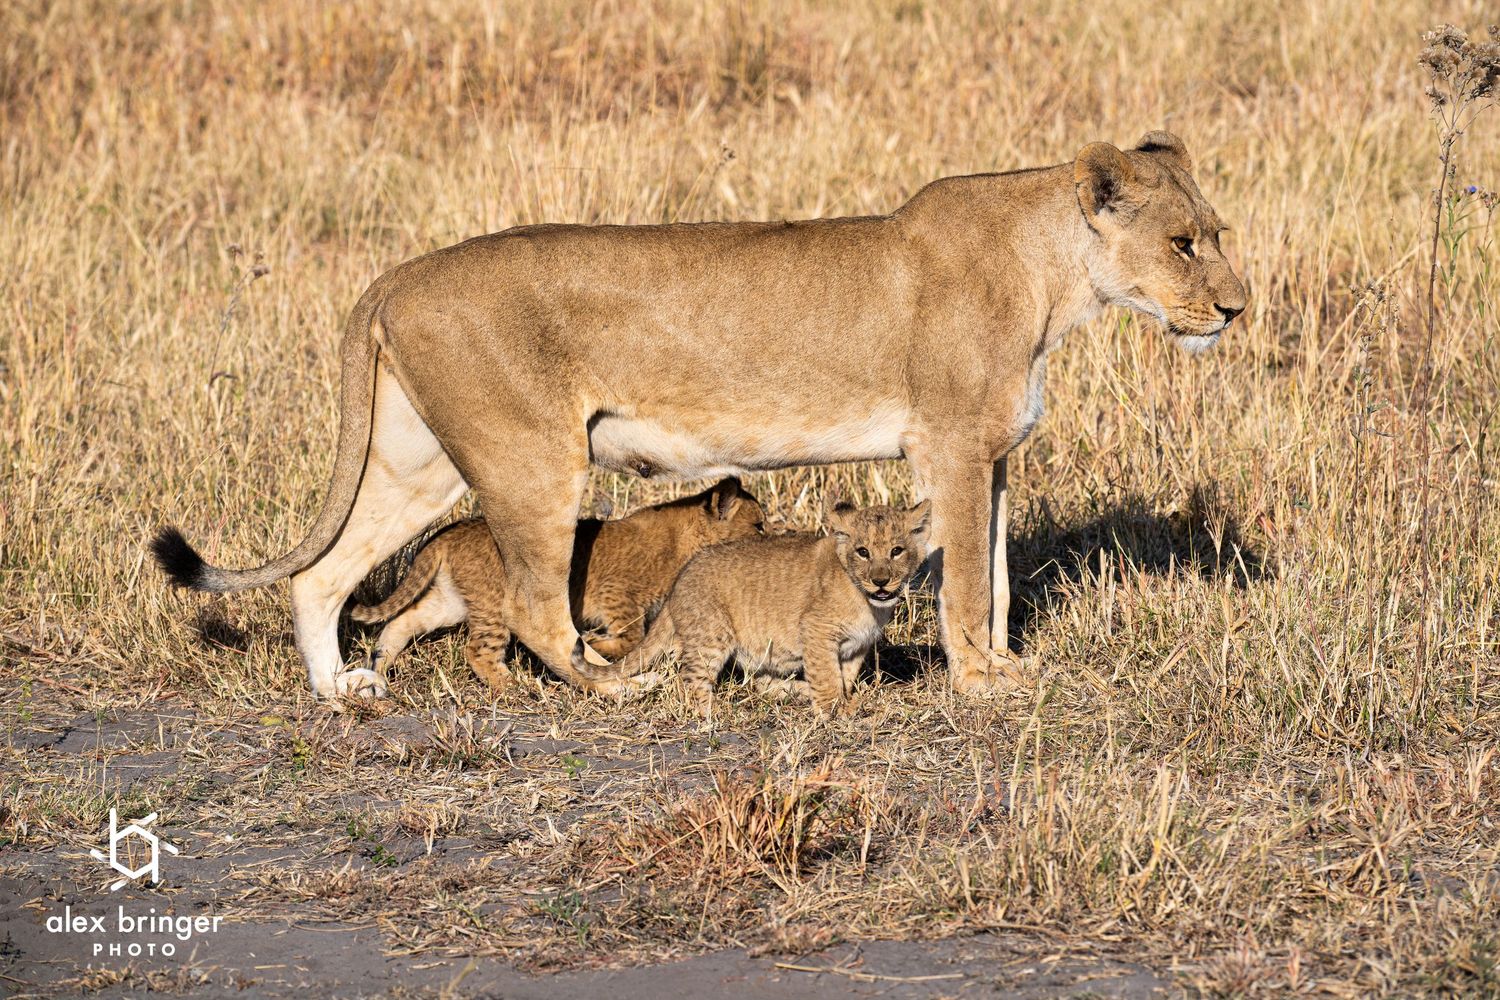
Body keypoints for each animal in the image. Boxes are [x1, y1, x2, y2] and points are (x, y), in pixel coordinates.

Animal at [151, 130, 1246, 700]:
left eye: (1218, 234)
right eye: (1185, 243)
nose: (1238, 310)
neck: (1057, 277)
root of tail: (395, 275)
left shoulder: (995, 457)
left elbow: (1002, 574)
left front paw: (1007, 663)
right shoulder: (953, 447)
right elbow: (971, 583)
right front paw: (986, 683)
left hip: (421, 461)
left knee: (323, 573)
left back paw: (341, 691)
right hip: (531, 457)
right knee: (542, 613)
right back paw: (620, 685)